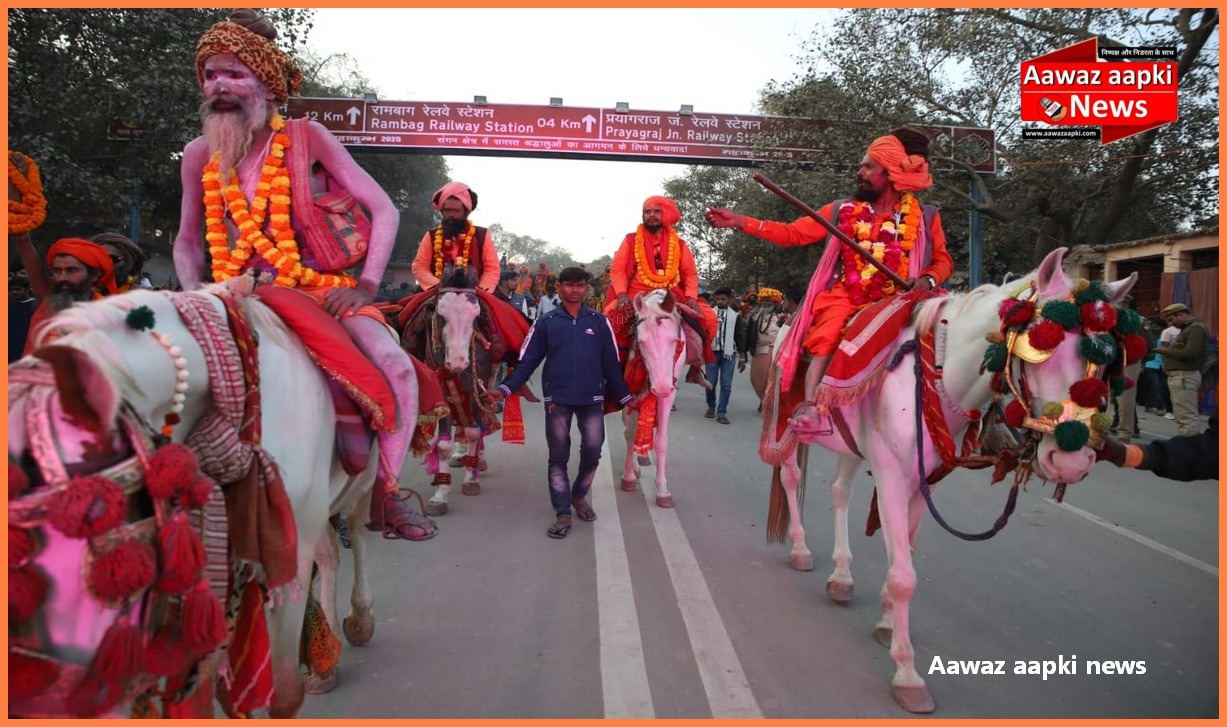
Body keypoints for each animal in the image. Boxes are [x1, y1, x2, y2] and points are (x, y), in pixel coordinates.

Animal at [7, 288, 407, 715]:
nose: (51, 697)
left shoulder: (290, 548)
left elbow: (284, 691)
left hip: (362, 484)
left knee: (359, 535)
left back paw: (359, 620)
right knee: (330, 551)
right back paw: (324, 661)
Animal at [618, 288, 687, 505]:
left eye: (674, 341)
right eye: (641, 342)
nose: (661, 388)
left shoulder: (670, 388)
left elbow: (662, 440)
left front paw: (662, 489)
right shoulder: (630, 388)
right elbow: (630, 433)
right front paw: (628, 477)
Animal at [765, 247, 1138, 711]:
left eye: (1106, 361)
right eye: (1041, 346)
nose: (1071, 458)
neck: (939, 373)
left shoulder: (925, 479)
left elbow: (904, 553)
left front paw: (887, 622)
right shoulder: (891, 476)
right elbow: (905, 576)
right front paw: (907, 673)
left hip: (852, 446)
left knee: (838, 493)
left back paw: (841, 577)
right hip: (786, 419)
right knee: (791, 476)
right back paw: (800, 549)